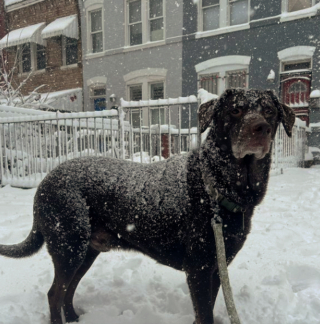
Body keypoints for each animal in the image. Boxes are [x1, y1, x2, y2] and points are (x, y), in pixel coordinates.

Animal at [0, 89, 296, 324]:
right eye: (235, 110)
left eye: (269, 111)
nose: (260, 128)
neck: (216, 186)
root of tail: (45, 182)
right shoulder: (199, 269)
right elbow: (204, 314)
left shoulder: (215, 269)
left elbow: (206, 312)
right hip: (69, 247)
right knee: (54, 293)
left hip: (86, 251)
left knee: (68, 290)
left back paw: (74, 318)